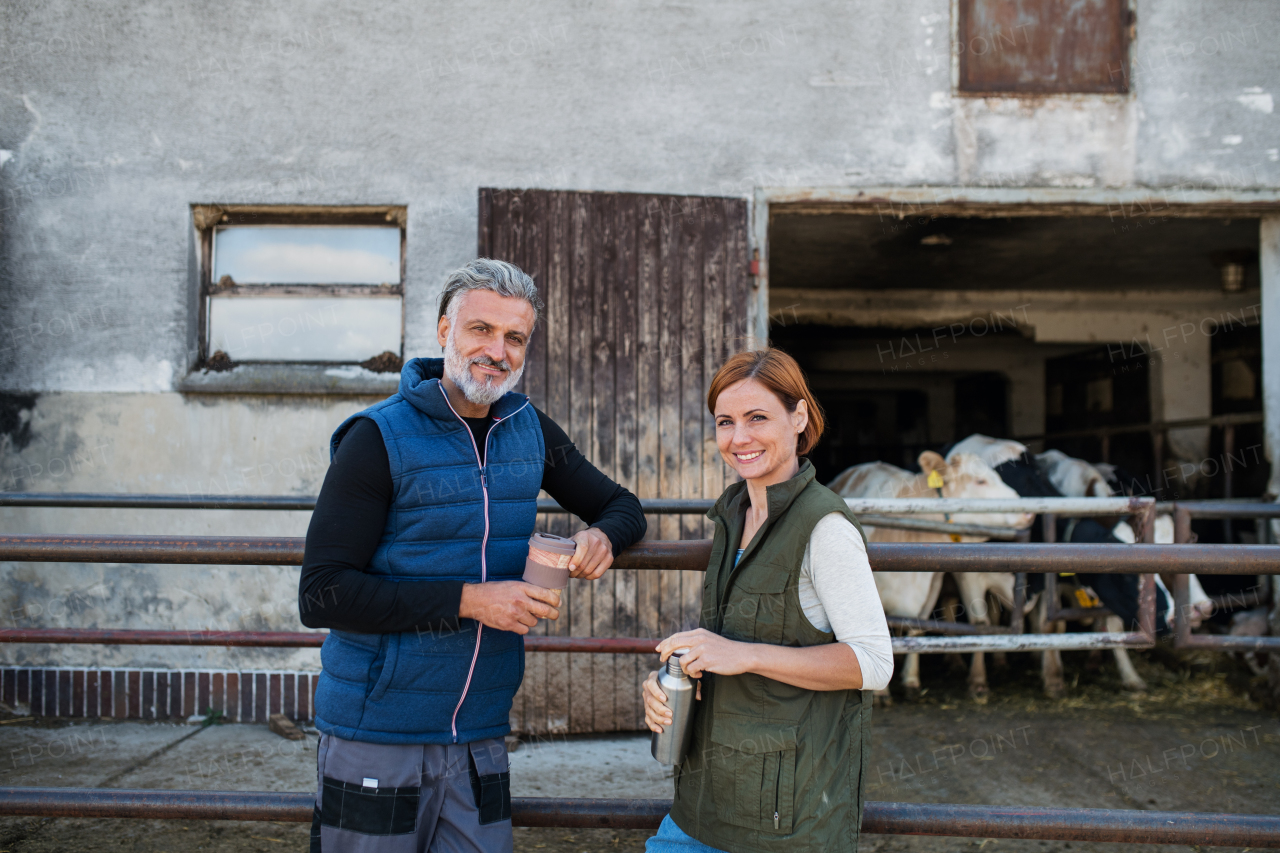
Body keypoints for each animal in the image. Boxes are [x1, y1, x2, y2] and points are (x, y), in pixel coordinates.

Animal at [829, 448, 1039, 701]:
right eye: (980, 481)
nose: (1029, 513)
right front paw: (880, 694)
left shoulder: (931, 588)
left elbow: (916, 628)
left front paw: (911, 681)